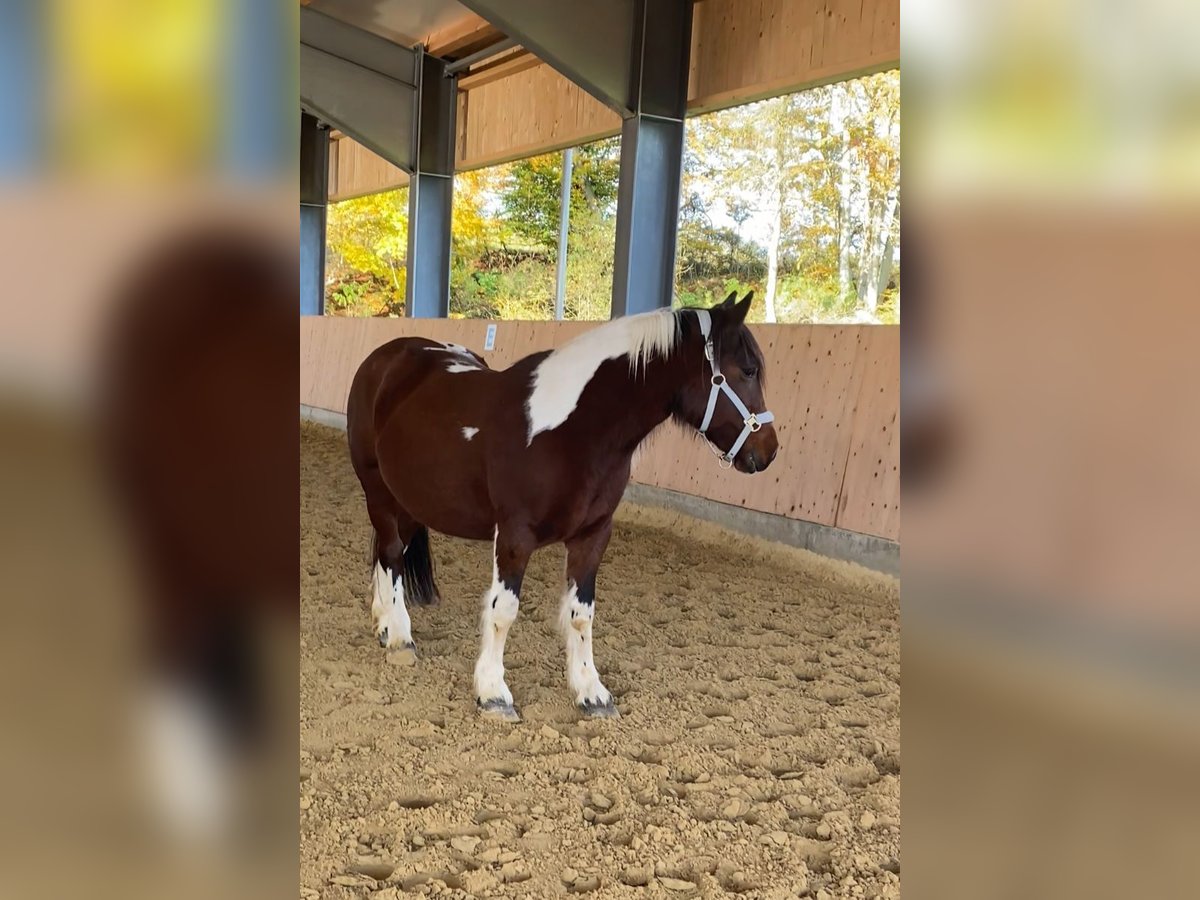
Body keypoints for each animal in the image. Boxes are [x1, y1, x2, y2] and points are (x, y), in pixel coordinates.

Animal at [348, 292, 777, 724]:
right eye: (747, 370)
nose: (769, 452)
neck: (570, 430)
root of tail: (385, 358)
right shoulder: (515, 536)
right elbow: (504, 611)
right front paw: (493, 692)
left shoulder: (593, 535)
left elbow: (581, 613)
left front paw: (591, 692)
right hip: (377, 490)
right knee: (390, 553)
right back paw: (399, 637)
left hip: (408, 498)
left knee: (390, 553)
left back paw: (384, 622)